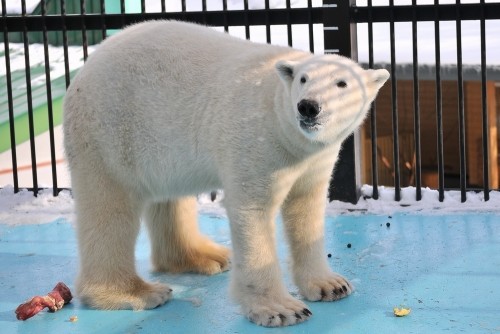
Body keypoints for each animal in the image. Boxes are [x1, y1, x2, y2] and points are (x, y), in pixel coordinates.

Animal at [62, 20, 388, 326]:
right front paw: (280, 310)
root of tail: (86, 67)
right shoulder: (256, 140)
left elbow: (306, 209)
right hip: (109, 129)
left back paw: (205, 257)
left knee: (170, 197)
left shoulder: (314, 160)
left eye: (342, 83)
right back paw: (136, 292)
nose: (308, 107)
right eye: (303, 79)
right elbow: (253, 211)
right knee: (110, 208)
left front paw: (331, 284)